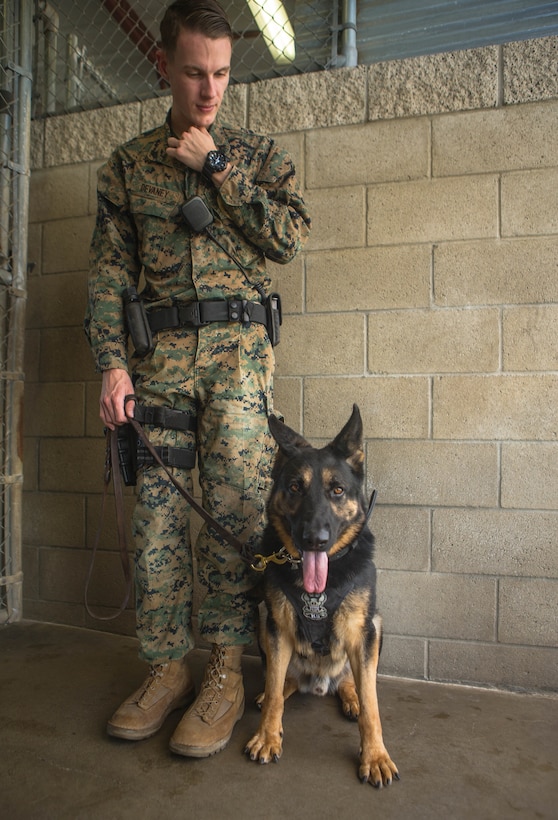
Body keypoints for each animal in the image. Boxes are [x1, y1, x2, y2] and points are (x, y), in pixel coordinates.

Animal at [247, 406, 400, 788]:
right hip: (263, 618)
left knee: (351, 679)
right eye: (294, 487)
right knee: (282, 681)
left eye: (337, 490)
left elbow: (372, 706)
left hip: (376, 624)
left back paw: (351, 695)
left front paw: (375, 756)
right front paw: (267, 736)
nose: (315, 540)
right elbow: (274, 690)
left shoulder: (362, 633)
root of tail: (317, 683)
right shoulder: (277, 628)